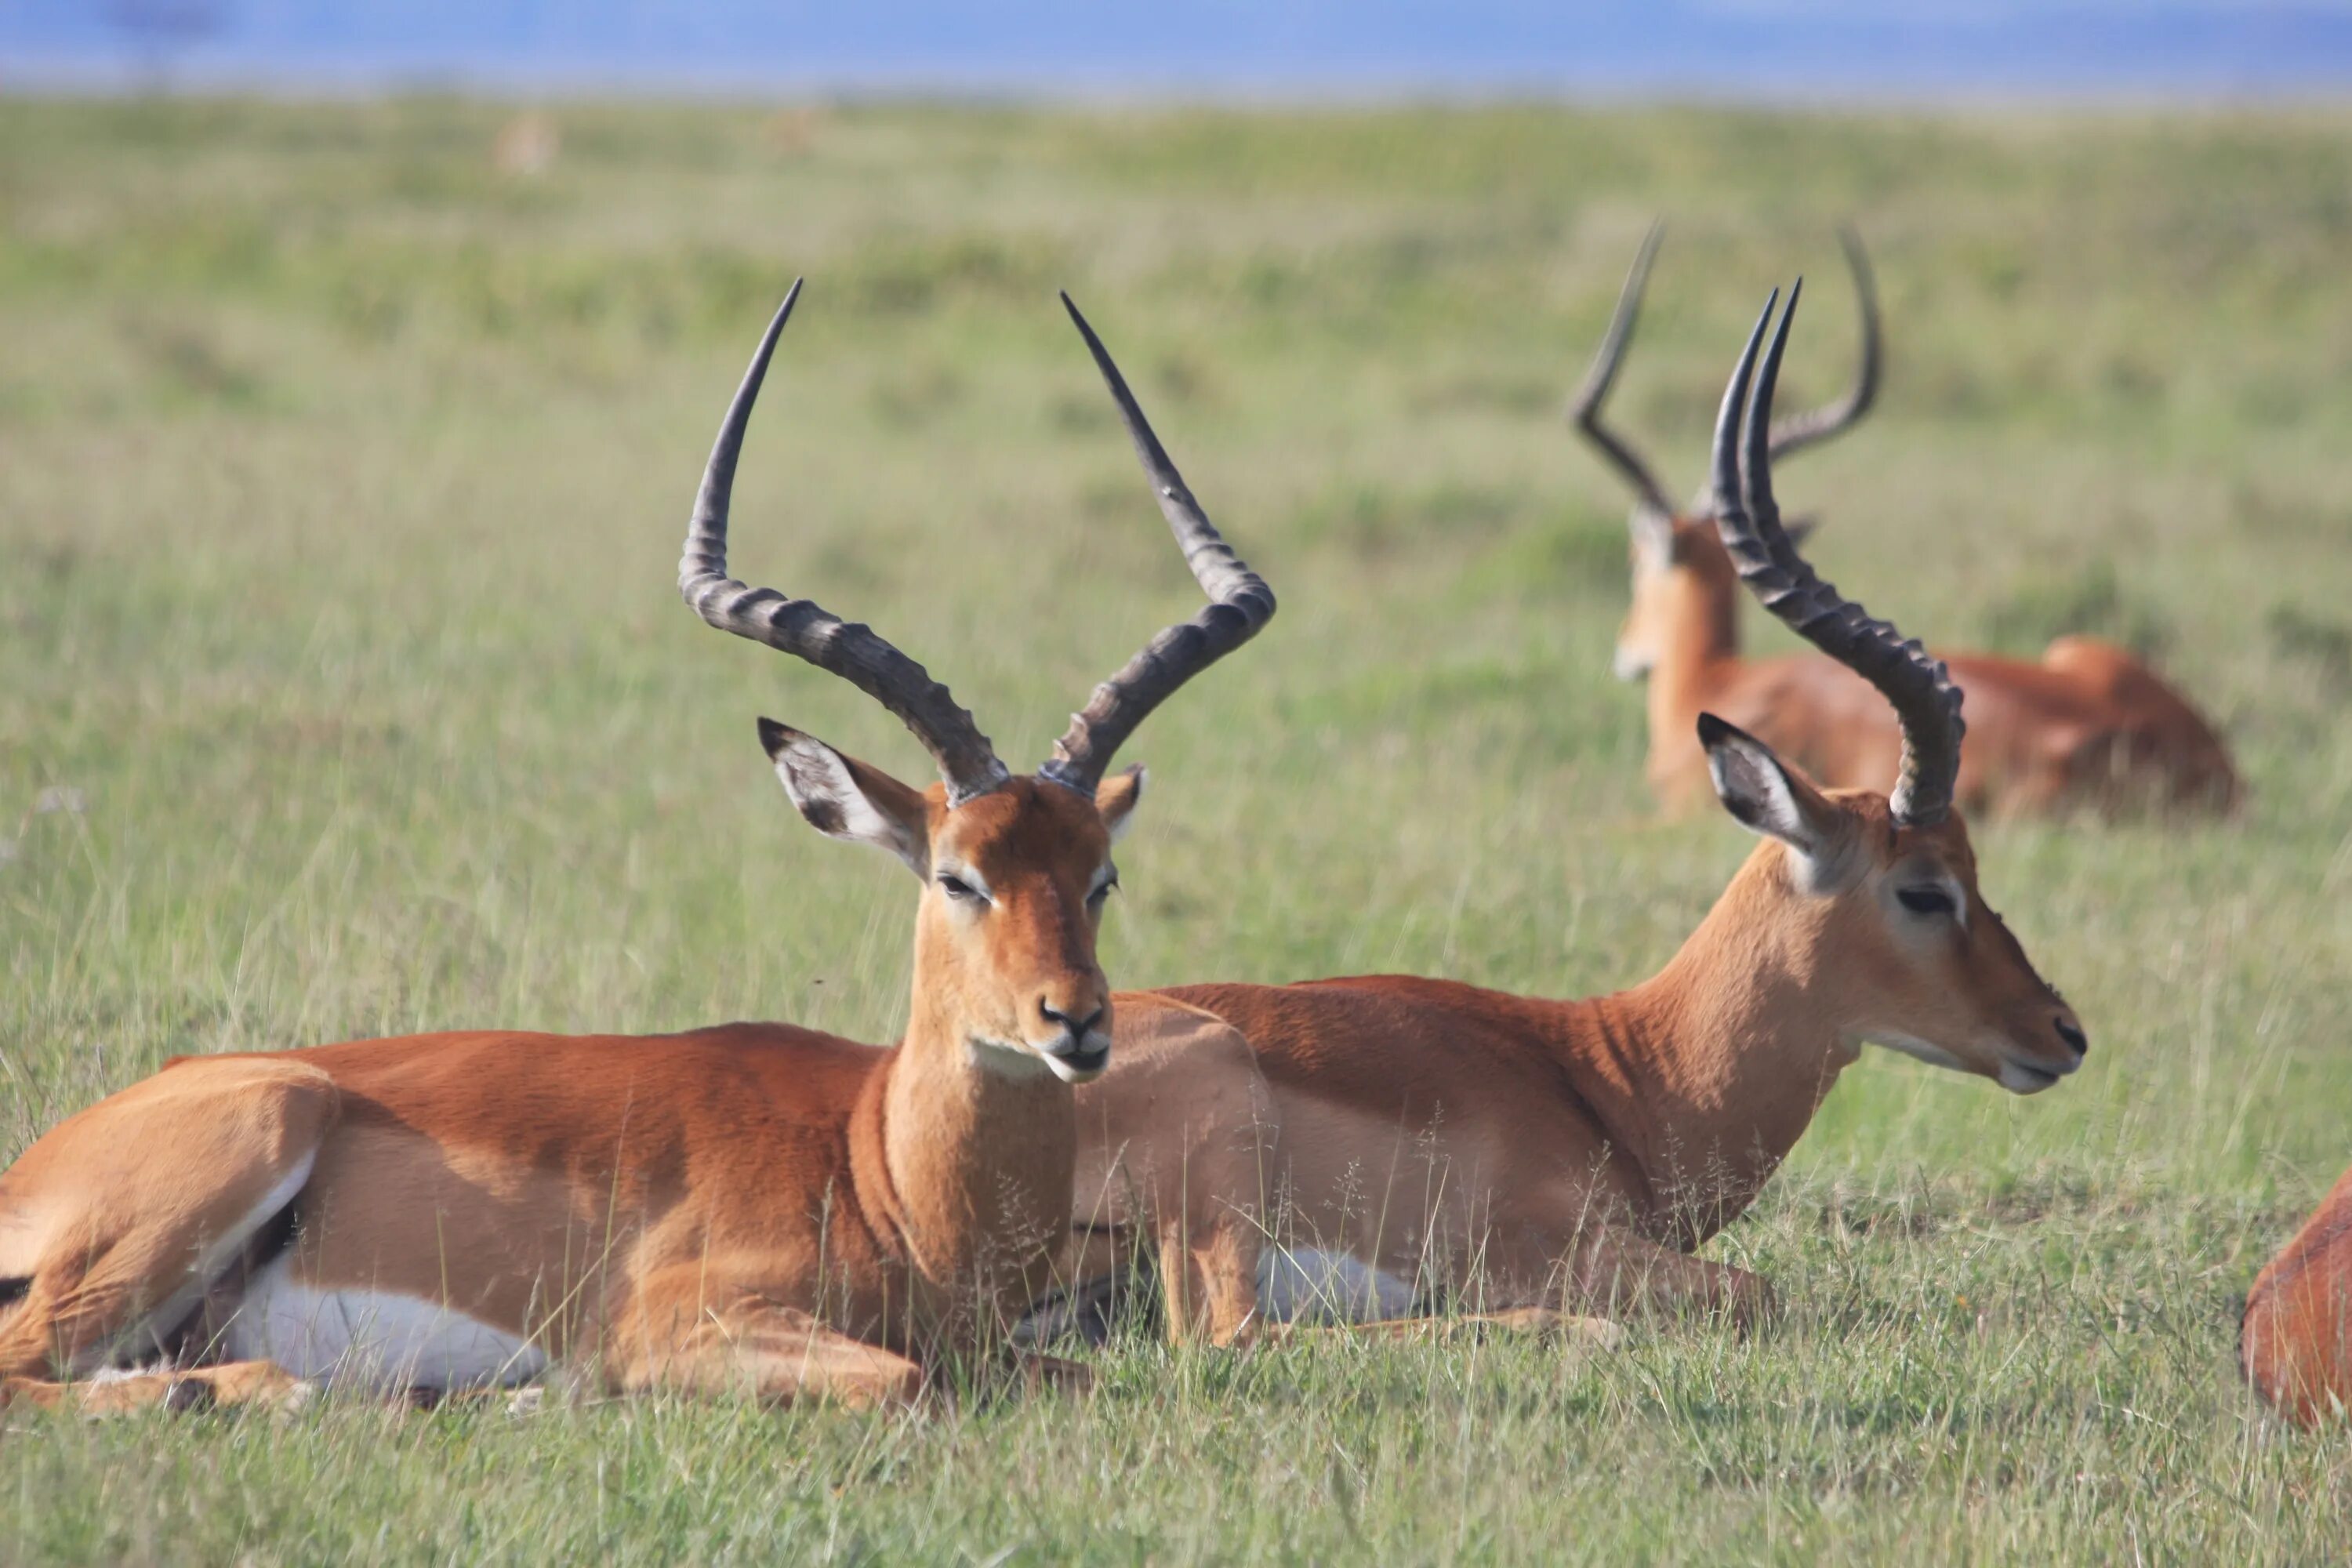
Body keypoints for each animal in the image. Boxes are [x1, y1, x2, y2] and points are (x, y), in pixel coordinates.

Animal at [0, 288, 1279, 1420]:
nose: (1078, 1022)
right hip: (247, 1140)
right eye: (959, 875)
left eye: (1100, 878)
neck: (882, 1173)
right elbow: (904, 1380)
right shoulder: (674, 1321)